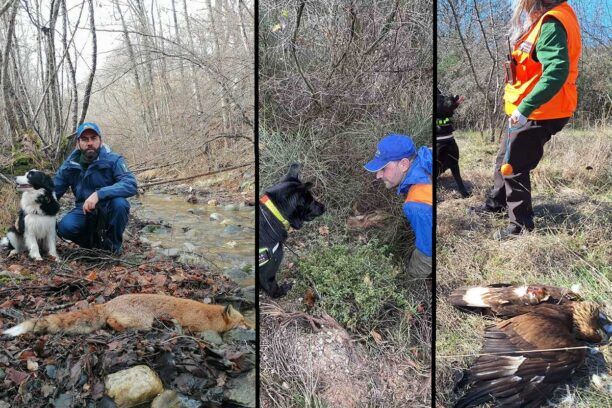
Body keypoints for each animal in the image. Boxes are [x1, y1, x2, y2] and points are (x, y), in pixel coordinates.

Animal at [258, 162, 326, 296]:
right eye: (311, 201)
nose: (324, 207)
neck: (274, 213)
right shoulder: (267, 273)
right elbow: (272, 288)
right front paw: (282, 290)